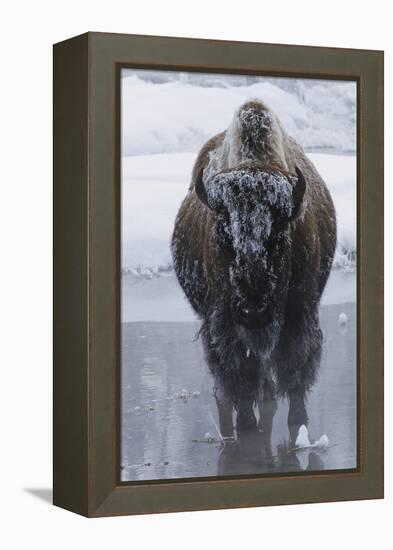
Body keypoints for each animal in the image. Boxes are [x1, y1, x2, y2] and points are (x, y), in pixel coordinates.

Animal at [170, 99, 336, 444]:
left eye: (279, 233)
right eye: (224, 233)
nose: (253, 310)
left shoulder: (299, 313)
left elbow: (295, 367)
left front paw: (299, 422)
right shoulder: (224, 323)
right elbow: (240, 373)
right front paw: (246, 424)